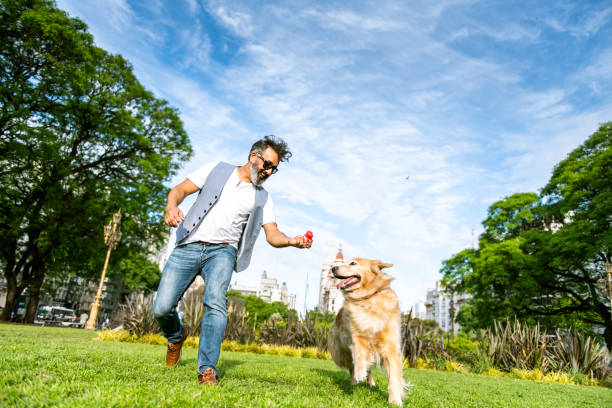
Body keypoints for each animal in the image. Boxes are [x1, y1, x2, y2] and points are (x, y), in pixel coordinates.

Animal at [326, 258, 406, 404]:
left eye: (353, 263)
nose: (333, 268)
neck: (367, 298)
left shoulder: (390, 347)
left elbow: (393, 378)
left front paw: (394, 400)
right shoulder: (357, 338)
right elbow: (359, 356)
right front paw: (359, 374)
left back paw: (371, 383)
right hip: (342, 351)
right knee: (352, 367)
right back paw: (355, 382)